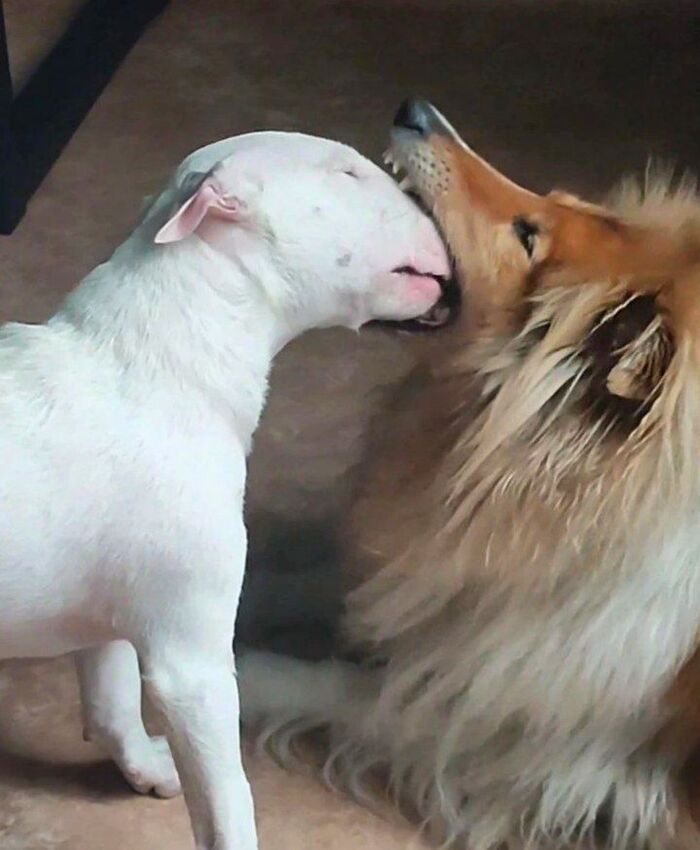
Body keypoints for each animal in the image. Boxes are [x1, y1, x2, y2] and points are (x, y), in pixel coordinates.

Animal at [0, 130, 452, 850]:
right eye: (348, 173)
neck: (161, 362)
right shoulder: (192, 663)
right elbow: (227, 797)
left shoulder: (112, 601)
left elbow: (109, 695)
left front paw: (143, 764)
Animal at [240, 103, 700, 849]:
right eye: (556, 205)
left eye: (527, 235)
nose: (416, 111)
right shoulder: (445, 580)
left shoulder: (521, 746)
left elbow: (338, 687)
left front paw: (242, 672)